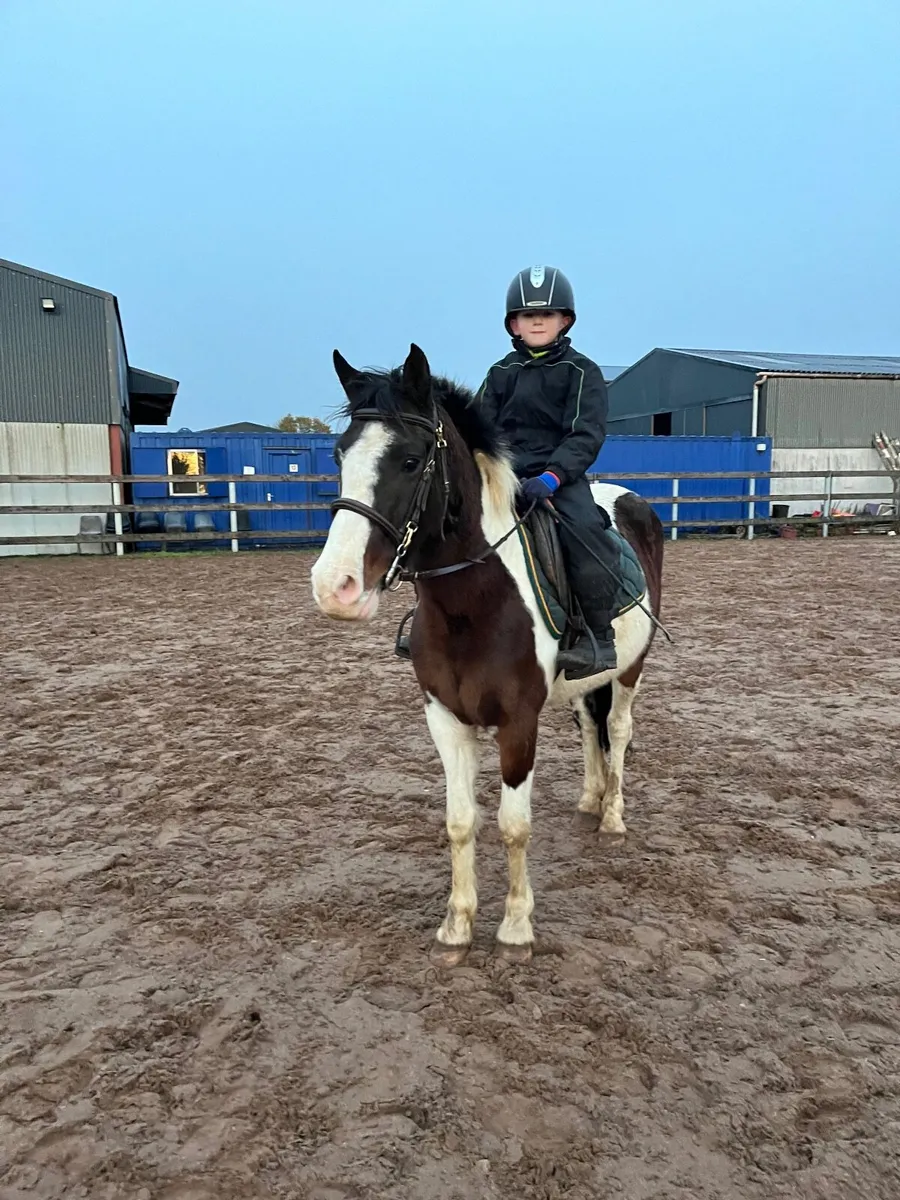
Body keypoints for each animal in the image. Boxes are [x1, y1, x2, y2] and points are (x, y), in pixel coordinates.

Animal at [311, 344, 664, 965]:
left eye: (409, 461)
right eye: (339, 455)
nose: (336, 588)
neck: (472, 604)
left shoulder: (518, 722)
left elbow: (513, 824)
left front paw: (516, 928)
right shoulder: (445, 718)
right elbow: (460, 822)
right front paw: (456, 927)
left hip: (630, 670)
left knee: (618, 731)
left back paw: (613, 816)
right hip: (582, 687)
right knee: (589, 727)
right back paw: (590, 799)